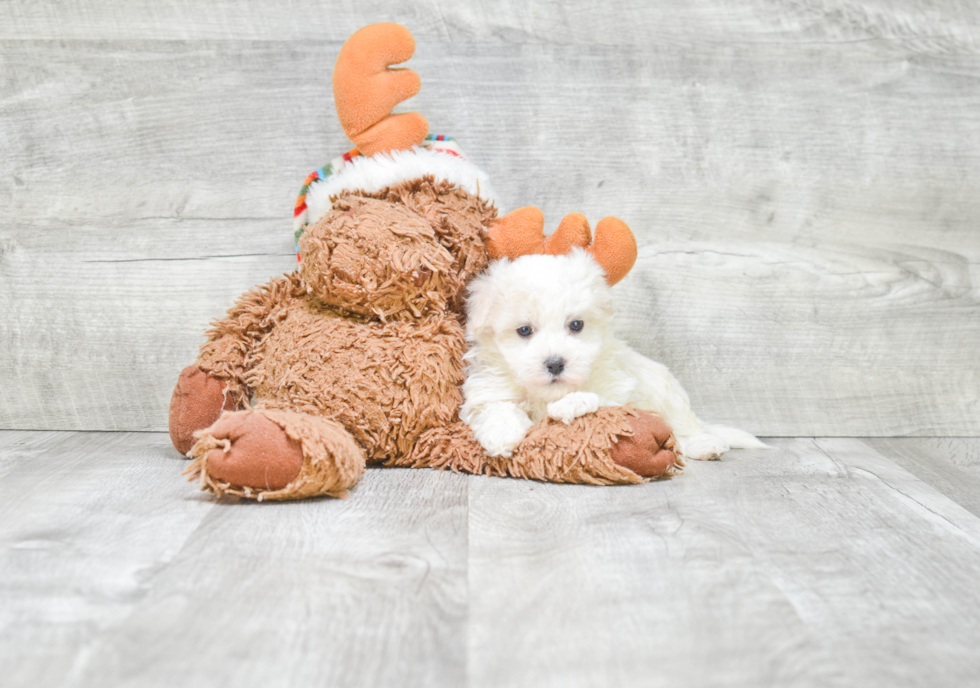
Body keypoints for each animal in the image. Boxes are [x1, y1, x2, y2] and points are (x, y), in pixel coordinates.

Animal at [460, 250, 764, 460]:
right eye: (524, 330)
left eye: (576, 325)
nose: (555, 364)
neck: (548, 395)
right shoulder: (489, 388)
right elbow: (496, 407)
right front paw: (501, 434)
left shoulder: (623, 392)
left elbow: (606, 402)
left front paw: (571, 403)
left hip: (669, 394)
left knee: (682, 427)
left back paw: (705, 444)